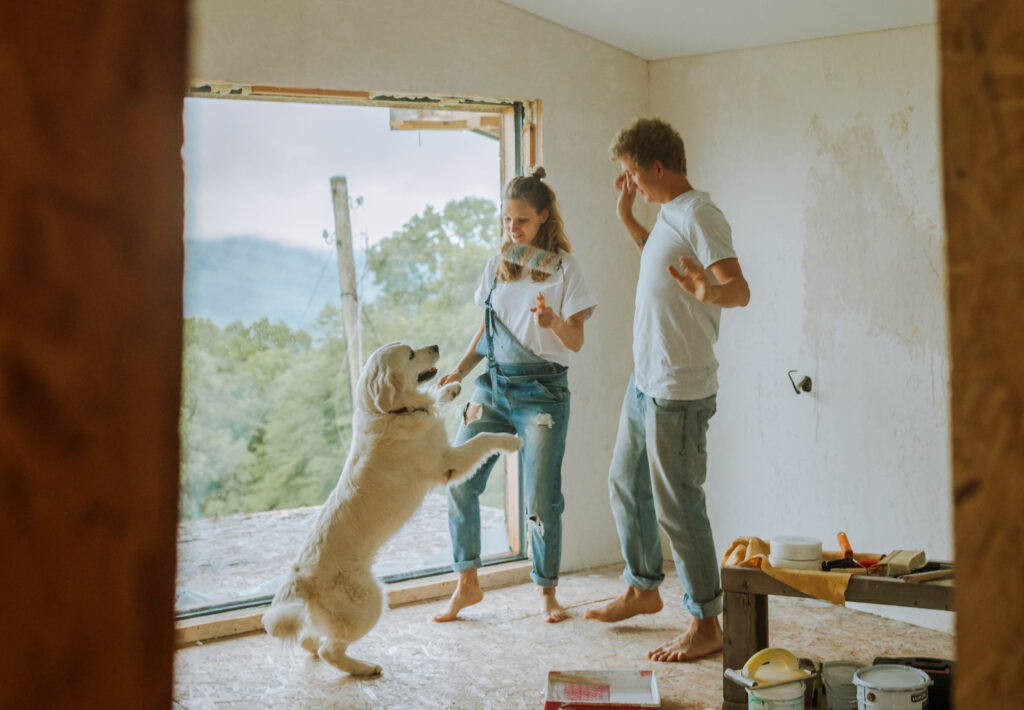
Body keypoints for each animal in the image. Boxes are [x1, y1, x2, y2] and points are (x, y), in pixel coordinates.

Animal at [264, 342, 520, 676]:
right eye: (410, 354)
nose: (435, 346)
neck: (388, 412)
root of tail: (299, 581)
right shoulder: (447, 462)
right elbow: (483, 438)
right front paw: (511, 441)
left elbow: (437, 398)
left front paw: (450, 388)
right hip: (370, 602)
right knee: (328, 650)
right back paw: (365, 669)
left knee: (310, 640)